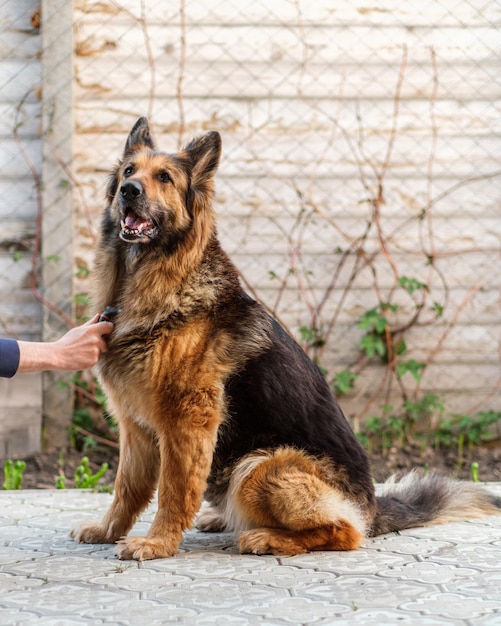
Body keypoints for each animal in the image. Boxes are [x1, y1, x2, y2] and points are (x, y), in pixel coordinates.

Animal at [71, 118, 500, 560]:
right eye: (129, 172)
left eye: (164, 178)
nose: (129, 191)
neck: (156, 283)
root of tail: (372, 506)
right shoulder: (136, 428)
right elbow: (127, 488)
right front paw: (108, 529)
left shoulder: (187, 424)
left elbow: (174, 490)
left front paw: (158, 542)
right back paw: (224, 520)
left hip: (259, 467)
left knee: (345, 532)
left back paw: (266, 537)